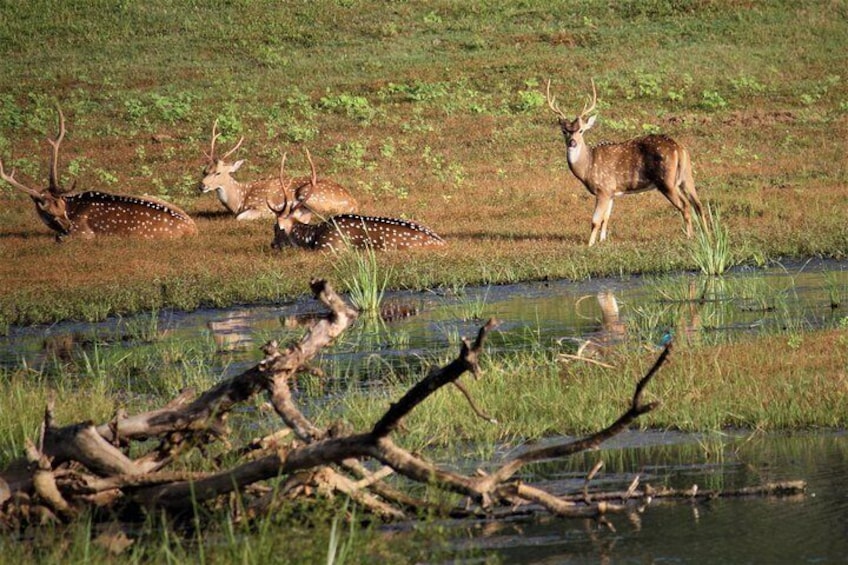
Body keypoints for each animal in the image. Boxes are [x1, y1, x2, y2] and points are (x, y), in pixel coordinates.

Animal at [2, 107, 197, 239]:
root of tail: (192, 228)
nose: (68, 227)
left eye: (61, 207)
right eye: (48, 212)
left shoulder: (83, 232)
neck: (72, 206)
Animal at [199, 121, 358, 220]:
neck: (239, 200)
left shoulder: (262, 206)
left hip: (311, 195)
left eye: (218, 172)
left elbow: (240, 217)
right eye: (204, 171)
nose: (202, 185)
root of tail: (353, 203)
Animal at [548, 77, 704, 245]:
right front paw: (603, 241)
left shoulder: (603, 188)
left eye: (581, 131)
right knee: (698, 204)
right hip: (686, 176)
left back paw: (689, 237)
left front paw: (590, 244)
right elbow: (606, 218)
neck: (587, 167)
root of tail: (680, 149)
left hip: (666, 181)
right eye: (564, 131)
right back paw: (706, 234)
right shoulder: (611, 192)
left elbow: (595, 220)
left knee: (685, 205)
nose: (572, 142)